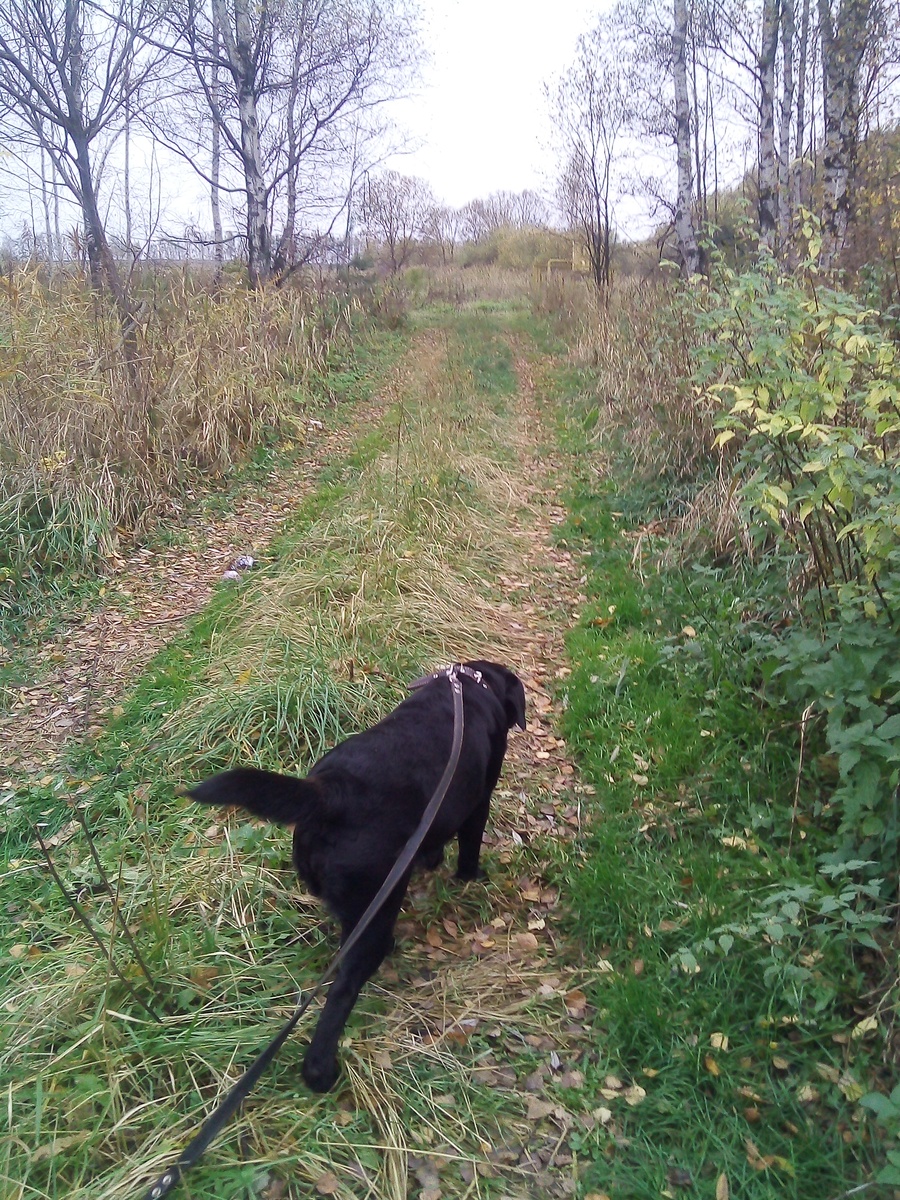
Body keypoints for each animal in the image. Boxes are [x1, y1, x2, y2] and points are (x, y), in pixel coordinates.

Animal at [190, 662, 528, 1094]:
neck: (470, 685)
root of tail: (331, 793)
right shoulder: (478, 801)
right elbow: (470, 846)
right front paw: (472, 877)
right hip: (374, 912)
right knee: (342, 990)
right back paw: (320, 1072)